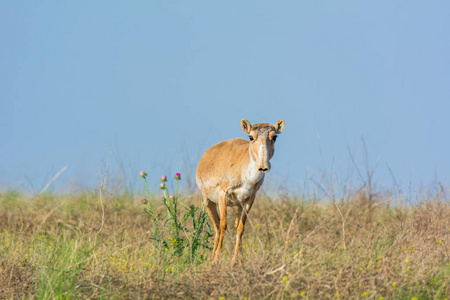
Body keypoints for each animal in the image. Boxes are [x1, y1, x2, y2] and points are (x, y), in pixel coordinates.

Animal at [196, 119, 284, 264]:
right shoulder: (223, 193)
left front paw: (236, 262)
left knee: (235, 224)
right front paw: (217, 260)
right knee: (216, 226)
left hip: (237, 205)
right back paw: (212, 257)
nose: (263, 167)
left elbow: (241, 228)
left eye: (274, 136)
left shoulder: (249, 199)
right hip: (207, 201)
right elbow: (223, 224)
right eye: (251, 137)